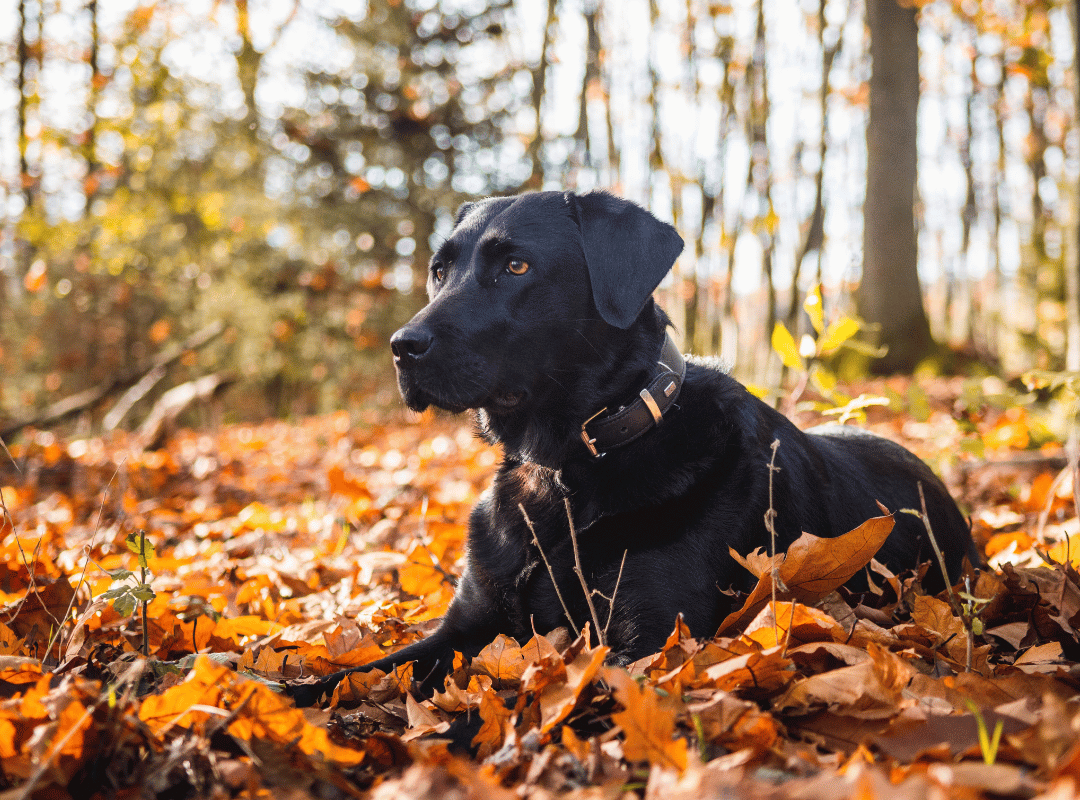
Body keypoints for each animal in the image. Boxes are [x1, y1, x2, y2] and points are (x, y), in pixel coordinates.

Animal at [291, 190, 976, 703]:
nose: (401, 347)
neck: (563, 469)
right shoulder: (470, 622)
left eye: (516, 266)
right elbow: (357, 674)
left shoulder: (647, 644)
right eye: (439, 270)